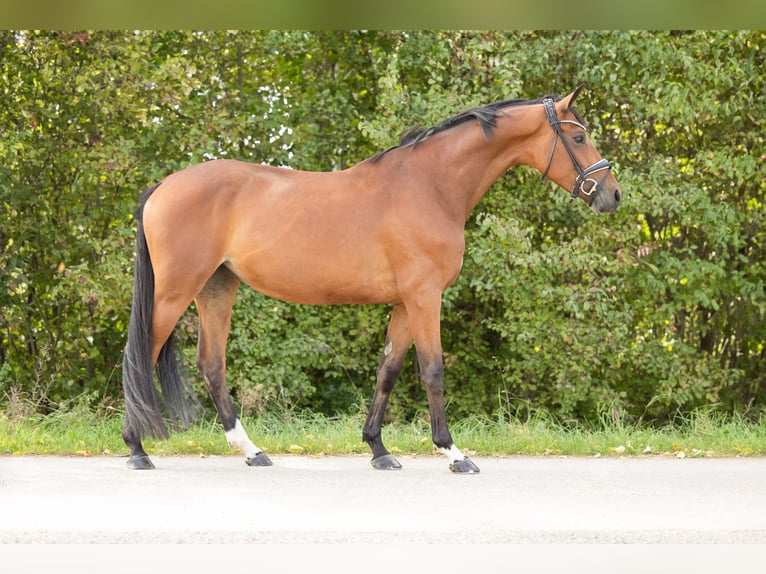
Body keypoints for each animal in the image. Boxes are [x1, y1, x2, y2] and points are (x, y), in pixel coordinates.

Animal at [121, 84, 624, 472]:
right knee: (140, 354)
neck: (431, 186)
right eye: (578, 136)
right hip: (175, 292)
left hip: (216, 288)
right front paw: (454, 453)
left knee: (212, 364)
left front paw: (378, 449)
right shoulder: (425, 298)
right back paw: (137, 449)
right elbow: (432, 371)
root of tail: (162, 187)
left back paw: (251, 450)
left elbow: (388, 369)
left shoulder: (405, 302)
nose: (613, 195)